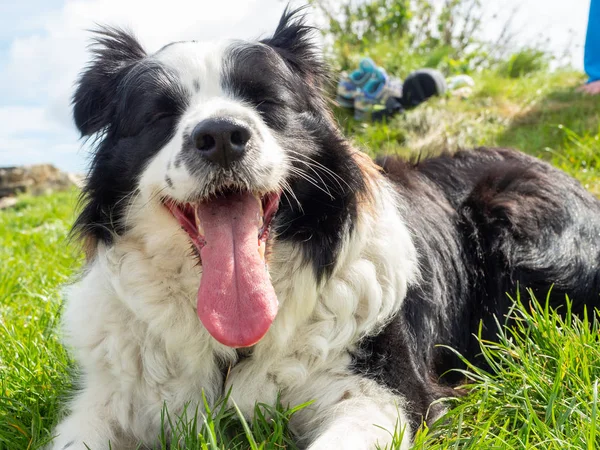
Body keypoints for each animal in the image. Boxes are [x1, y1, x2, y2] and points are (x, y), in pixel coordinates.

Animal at [54, 7, 600, 450]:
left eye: (267, 102)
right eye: (160, 115)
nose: (222, 136)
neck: (233, 348)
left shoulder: (384, 389)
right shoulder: (116, 398)